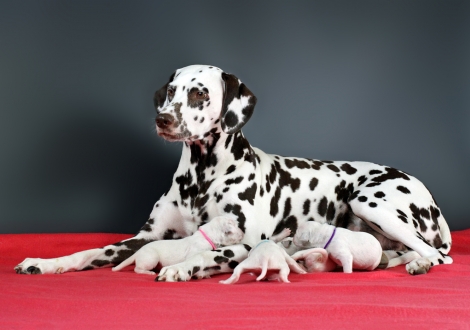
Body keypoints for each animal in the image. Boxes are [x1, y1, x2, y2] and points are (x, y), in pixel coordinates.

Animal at [112, 218, 244, 274]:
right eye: (235, 227)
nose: (243, 233)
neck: (207, 236)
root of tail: (138, 252)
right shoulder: (194, 254)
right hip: (151, 258)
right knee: (137, 269)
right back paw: (148, 273)